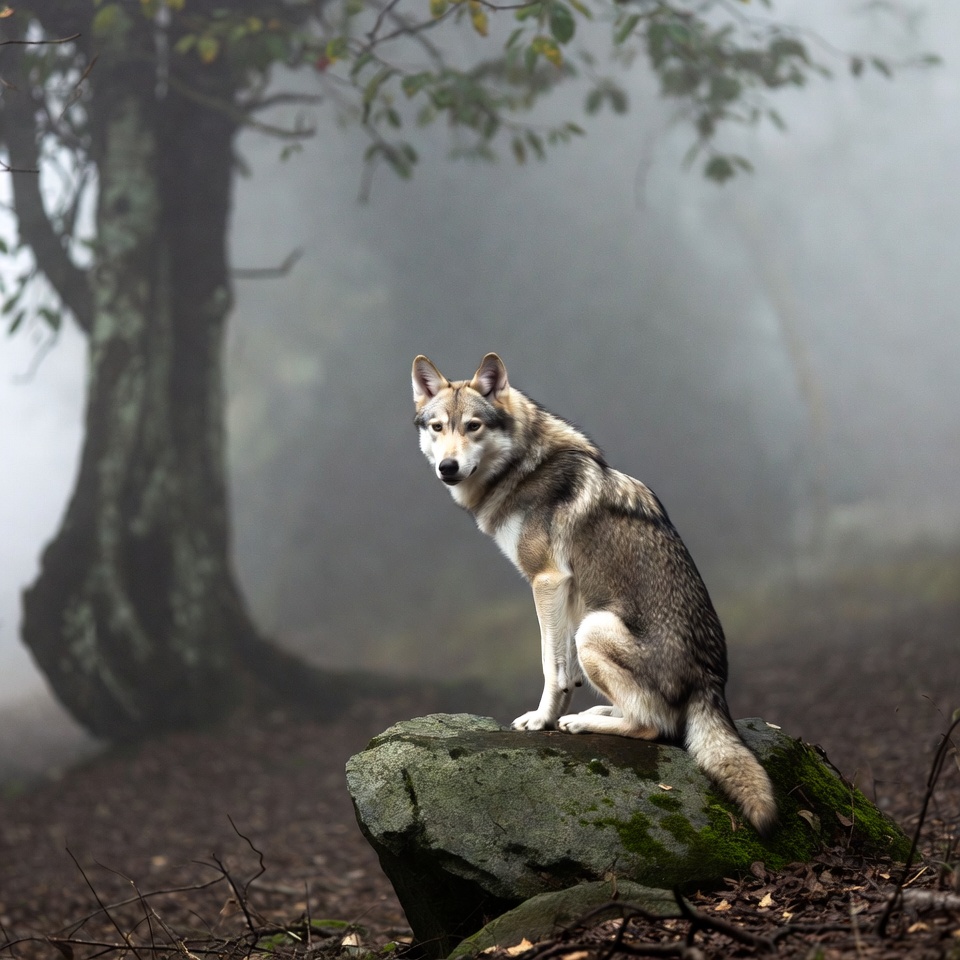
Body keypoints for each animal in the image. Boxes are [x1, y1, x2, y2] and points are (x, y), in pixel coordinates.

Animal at [411, 352, 777, 835]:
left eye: (473, 426)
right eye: (438, 427)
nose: (447, 467)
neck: (521, 466)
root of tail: (711, 684)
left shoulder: (546, 581)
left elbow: (550, 667)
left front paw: (540, 720)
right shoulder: (565, 592)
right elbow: (567, 672)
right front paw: (556, 714)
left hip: (594, 628)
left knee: (656, 727)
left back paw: (583, 724)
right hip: (589, 622)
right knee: (649, 714)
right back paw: (589, 715)